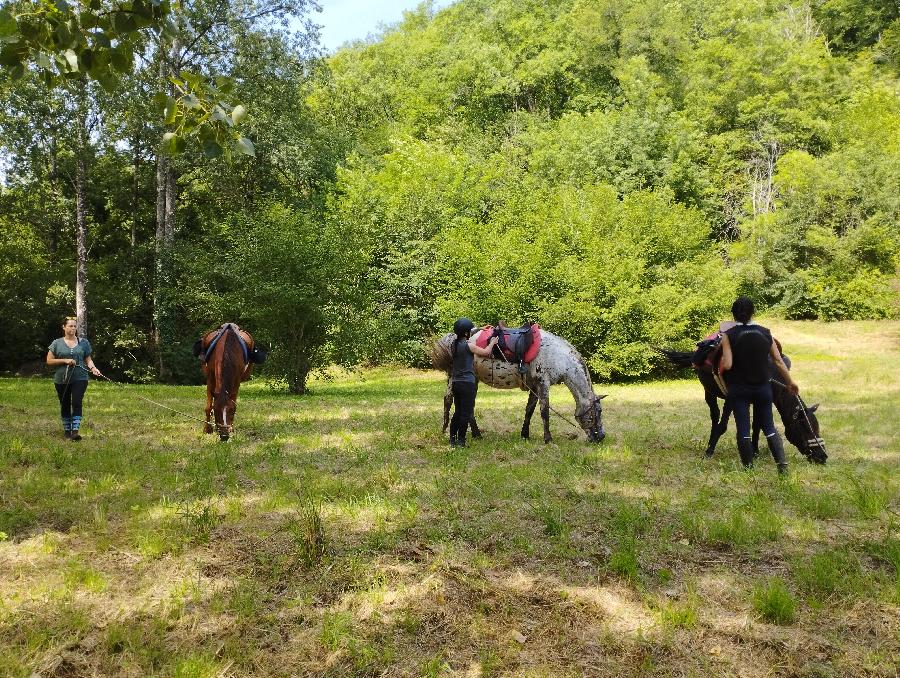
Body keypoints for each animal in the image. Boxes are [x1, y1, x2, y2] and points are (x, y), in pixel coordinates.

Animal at [656, 350, 828, 468]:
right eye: (805, 428)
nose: (822, 457)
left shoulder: (761, 401)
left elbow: (757, 426)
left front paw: (755, 452)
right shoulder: (732, 399)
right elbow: (722, 426)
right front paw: (708, 453)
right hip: (709, 392)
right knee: (714, 416)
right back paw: (710, 445)